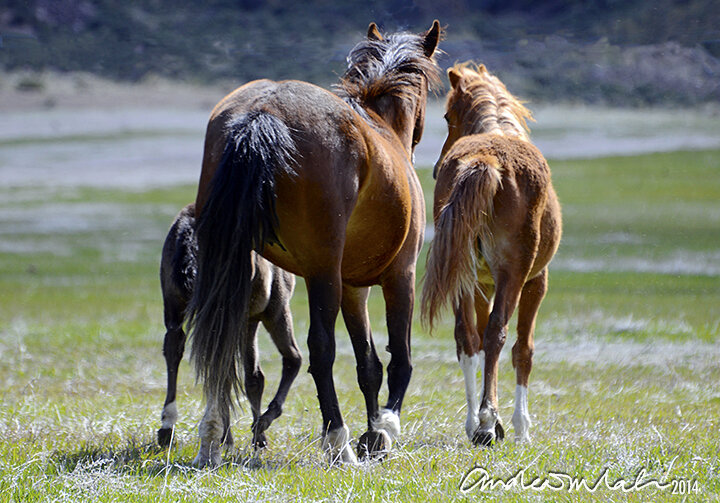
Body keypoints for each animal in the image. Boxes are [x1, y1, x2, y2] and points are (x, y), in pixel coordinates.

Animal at [158, 203, 300, 454]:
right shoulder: (264, 312)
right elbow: (256, 376)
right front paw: (259, 433)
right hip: (259, 314)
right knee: (290, 359)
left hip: (174, 305)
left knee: (174, 348)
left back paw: (168, 428)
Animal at [188, 20, 442, 468]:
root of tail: (263, 111)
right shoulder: (400, 277)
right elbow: (400, 359)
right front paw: (384, 430)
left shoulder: (355, 289)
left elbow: (368, 365)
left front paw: (373, 431)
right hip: (323, 274)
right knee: (321, 350)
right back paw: (338, 442)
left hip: (232, 260)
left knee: (219, 334)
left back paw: (212, 438)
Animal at [422, 64, 564, 448]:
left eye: (446, 115)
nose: (436, 168)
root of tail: (484, 160)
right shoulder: (536, 281)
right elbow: (522, 350)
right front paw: (520, 425)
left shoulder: (482, 283)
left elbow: (479, 341)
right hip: (515, 275)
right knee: (498, 335)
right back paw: (486, 423)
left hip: (463, 274)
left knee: (467, 338)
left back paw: (476, 422)